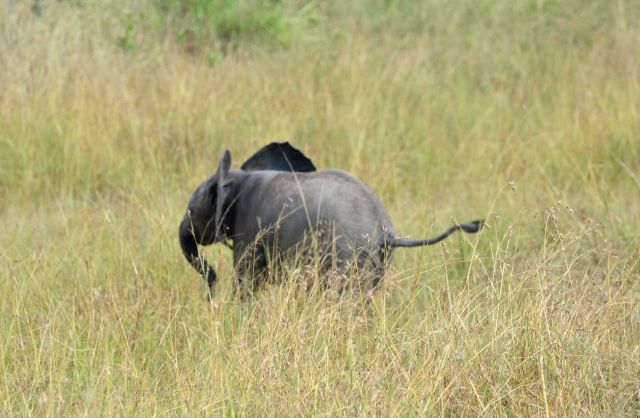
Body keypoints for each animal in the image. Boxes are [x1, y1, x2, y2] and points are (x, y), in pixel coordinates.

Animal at [179, 142, 483, 297]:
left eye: (191, 208)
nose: (211, 290)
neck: (239, 177)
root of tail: (386, 231)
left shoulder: (250, 231)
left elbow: (246, 281)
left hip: (347, 256)